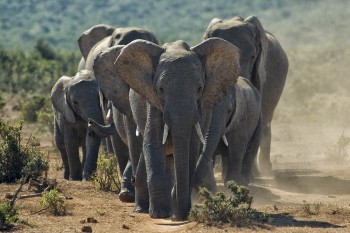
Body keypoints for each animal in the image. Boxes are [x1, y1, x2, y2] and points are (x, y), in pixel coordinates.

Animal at [91, 38, 241, 220]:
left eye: (199, 89)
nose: (182, 215)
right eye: (161, 89)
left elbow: (191, 149)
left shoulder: (201, 108)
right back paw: (142, 208)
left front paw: (178, 213)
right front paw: (159, 215)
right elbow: (154, 143)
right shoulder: (152, 101)